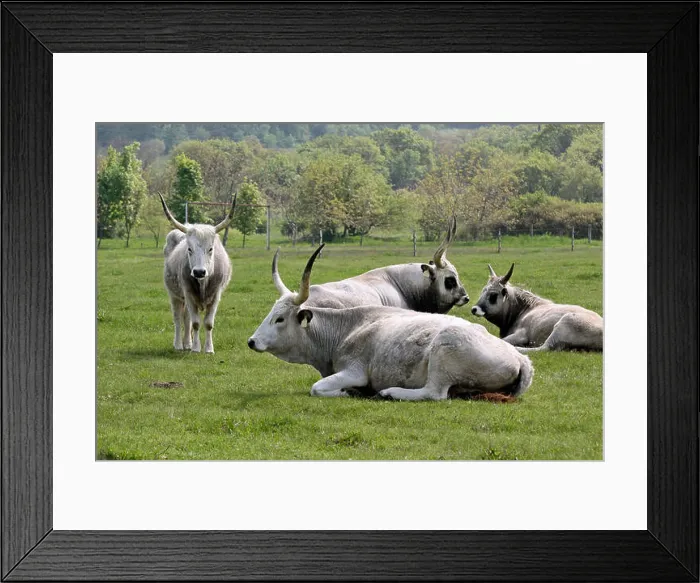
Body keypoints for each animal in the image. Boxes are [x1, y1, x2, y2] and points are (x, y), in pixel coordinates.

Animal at [160, 194, 236, 354]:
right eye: (189, 249)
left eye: (211, 248)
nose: (199, 272)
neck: (203, 283)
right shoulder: (188, 293)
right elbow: (195, 323)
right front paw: (196, 348)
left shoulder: (216, 296)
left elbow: (208, 323)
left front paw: (208, 349)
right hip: (174, 295)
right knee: (178, 319)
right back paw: (179, 344)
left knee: (186, 318)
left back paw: (187, 343)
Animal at [248, 247, 534, 401]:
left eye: (280, 319)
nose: (252, 341)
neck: (344, 329)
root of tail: (520, 359)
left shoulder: (355, 371)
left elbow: (316, 388)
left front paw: (350, 392)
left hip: (443, 353)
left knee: (434, 392)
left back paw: (389, 392)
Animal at [471, 263, 603, 353]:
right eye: (483, 291)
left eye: (493, 295)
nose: (474, 309)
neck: (524, 309)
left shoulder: (522, 334)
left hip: (562, 325)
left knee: (543, 348)